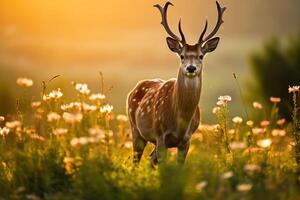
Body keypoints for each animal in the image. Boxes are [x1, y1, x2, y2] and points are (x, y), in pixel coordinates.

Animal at [126, 0, 225, 165]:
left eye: (201, 56)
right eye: (182, 56)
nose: (191, 68)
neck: (180, 123)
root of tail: (133, 90)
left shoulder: (187, 140)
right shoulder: (160, 134)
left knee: (150, 159)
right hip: (136, 130)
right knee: (136, 161)